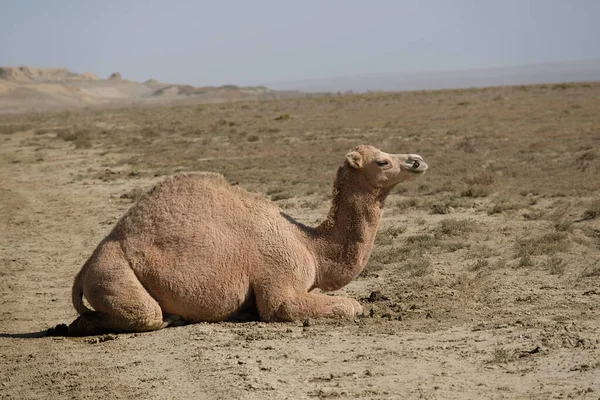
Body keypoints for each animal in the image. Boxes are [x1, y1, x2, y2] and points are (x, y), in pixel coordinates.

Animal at [59, 145, 426, 336]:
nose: (418, 160)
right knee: (142, 313)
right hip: (113, 273)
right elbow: (341, 306)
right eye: (382, 160)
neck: (309, 245)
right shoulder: (278, 281)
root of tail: (84, 267)